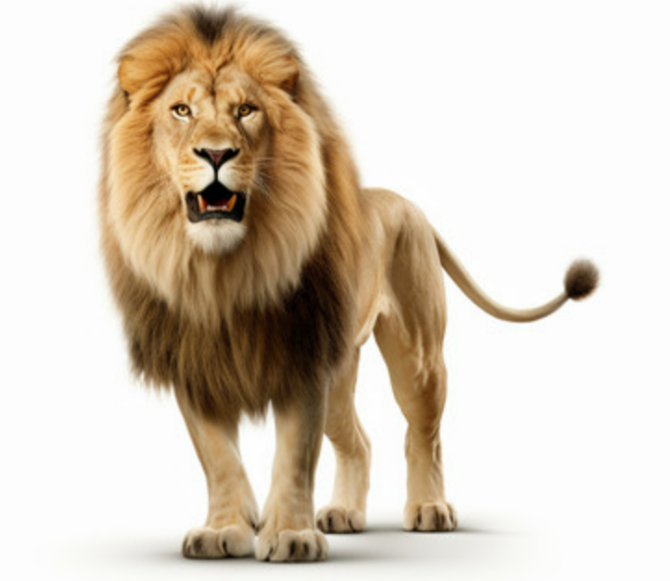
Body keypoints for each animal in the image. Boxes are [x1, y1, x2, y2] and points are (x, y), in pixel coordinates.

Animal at [99, 6, 598, 562]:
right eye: (181, 111)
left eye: (247, 110)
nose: (215, 153)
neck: (224, 271)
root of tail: (408, 205)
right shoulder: (195, 365)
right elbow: (219, 457)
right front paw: (225, 529)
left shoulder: (302, 357)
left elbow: (295, 455)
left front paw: (290, 536)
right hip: (341, 373)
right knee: (358, 439)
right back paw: (343, 514)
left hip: (417, 356)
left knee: (424, 435)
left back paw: (429, 509)